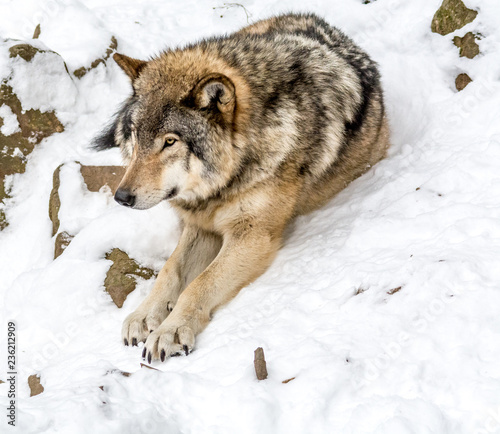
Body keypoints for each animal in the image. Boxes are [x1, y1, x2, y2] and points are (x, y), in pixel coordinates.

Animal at [94, 11, 390, 362]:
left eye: (169, 142)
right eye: (136, 136)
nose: (122, 197)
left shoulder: (252, 236)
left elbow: (200, 283)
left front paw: (171, 329)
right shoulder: (201, 226)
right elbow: (170, 270)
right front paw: (145, 315)